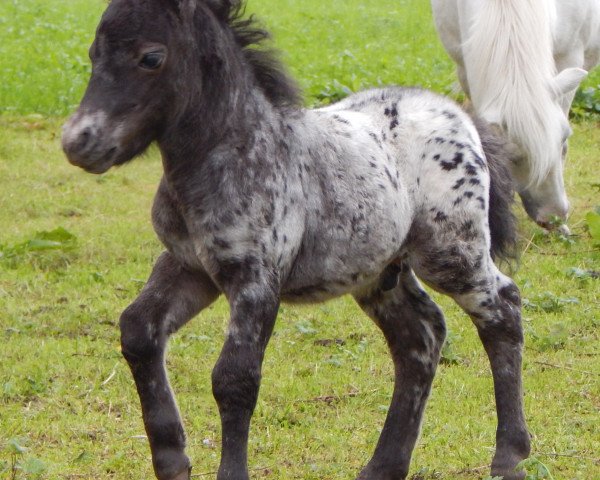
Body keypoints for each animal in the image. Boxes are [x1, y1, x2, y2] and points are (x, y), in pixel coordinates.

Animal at [62, 0, 528, 480]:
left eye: (151, 57)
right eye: (94, 53)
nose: (79, 142)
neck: (236, 152)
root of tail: (460, 116)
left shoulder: (257, 280)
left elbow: (235, 379)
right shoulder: (190, 267)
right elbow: (138, 330)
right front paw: (172, 459)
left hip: (451, 252)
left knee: (502, 309)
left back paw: (509, 455)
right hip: (379, 273)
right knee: (420, 337)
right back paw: (383, 465)